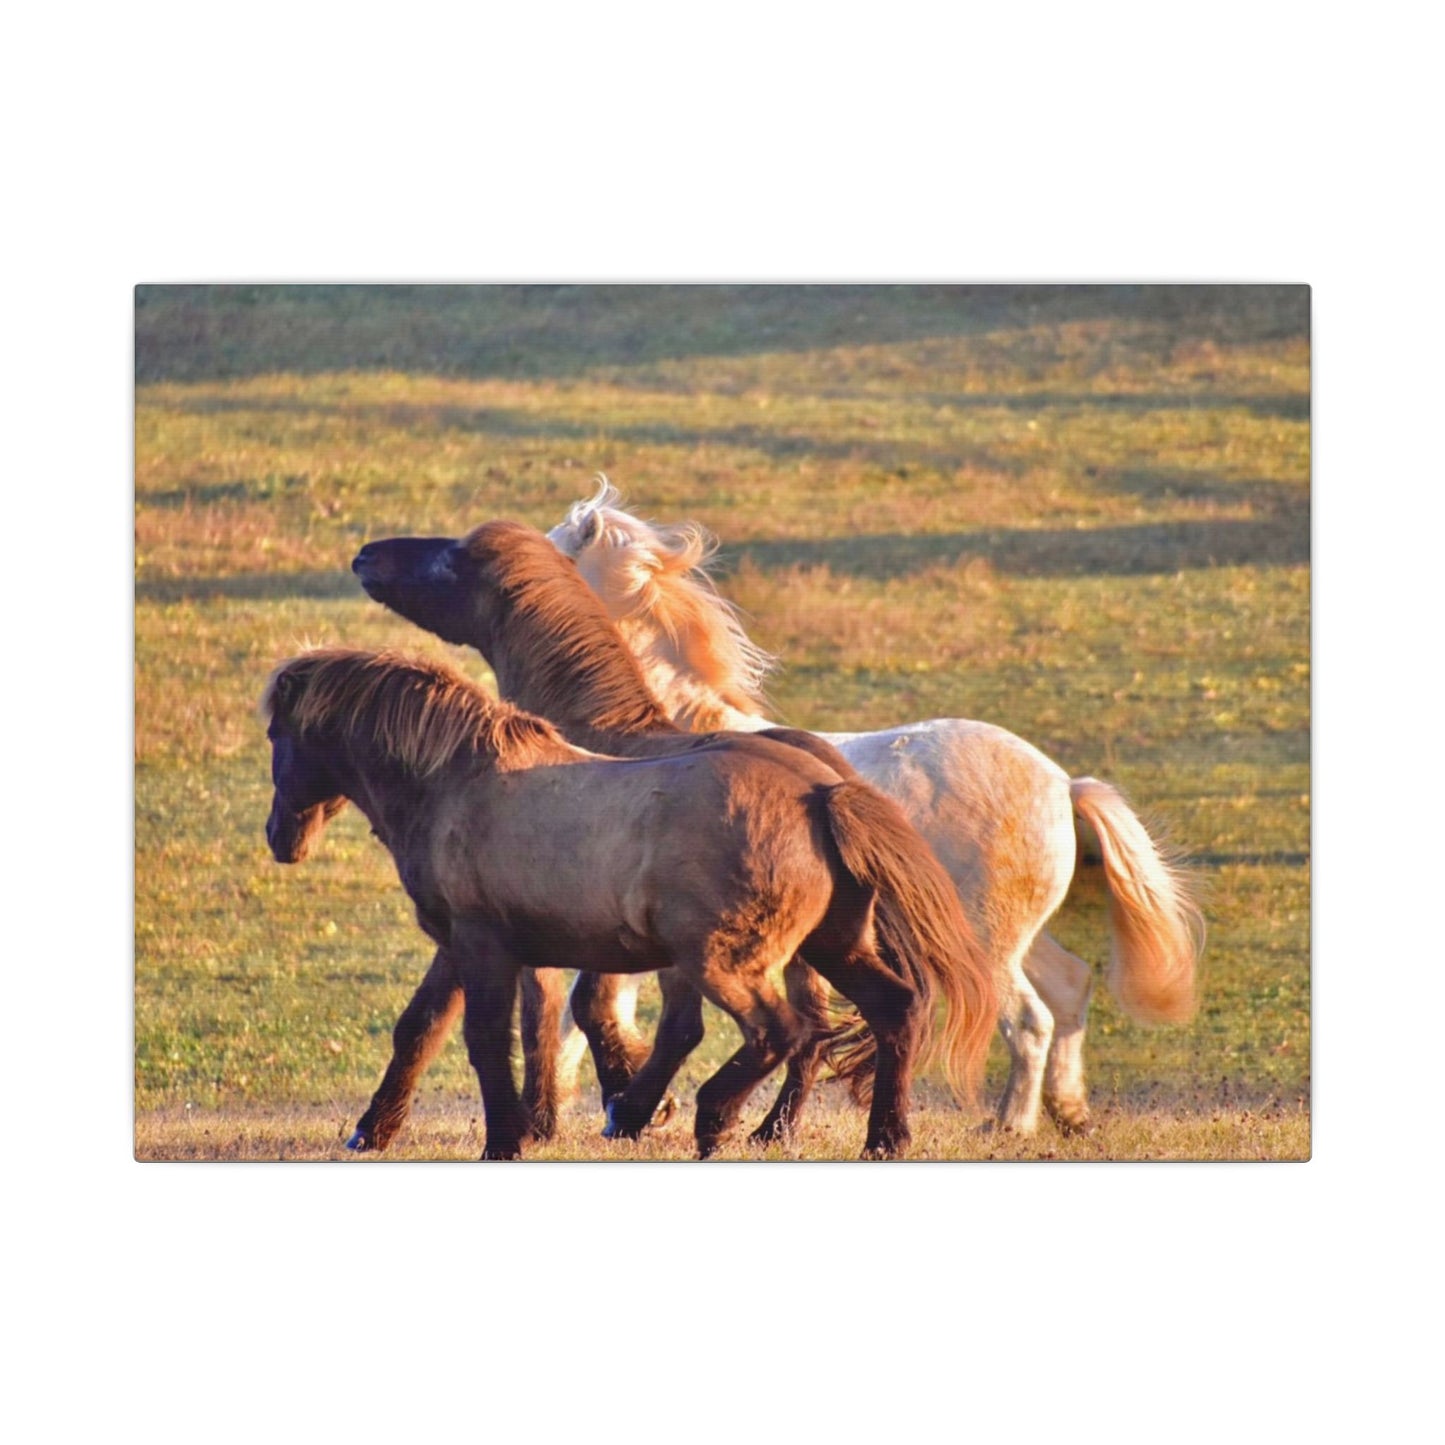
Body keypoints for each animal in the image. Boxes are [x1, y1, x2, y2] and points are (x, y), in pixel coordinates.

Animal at [349, 520, 995, 1148]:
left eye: (450, 560)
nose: (365, 556)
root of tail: (827, 790)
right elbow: (452, 1020)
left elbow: (556, 1013)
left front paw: (606, 1105)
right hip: (814, 945)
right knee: (853, 1019)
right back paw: (843, 1132)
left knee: (776, 1027)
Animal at [545, 477, 1205, 1134]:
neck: (661, 734)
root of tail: (1063, 784)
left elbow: (588, 1010)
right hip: (1019, 937)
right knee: (1069, 989)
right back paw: (1068, 1113)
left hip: (986, 944)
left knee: (1030, 1020)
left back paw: (1008, 1124)